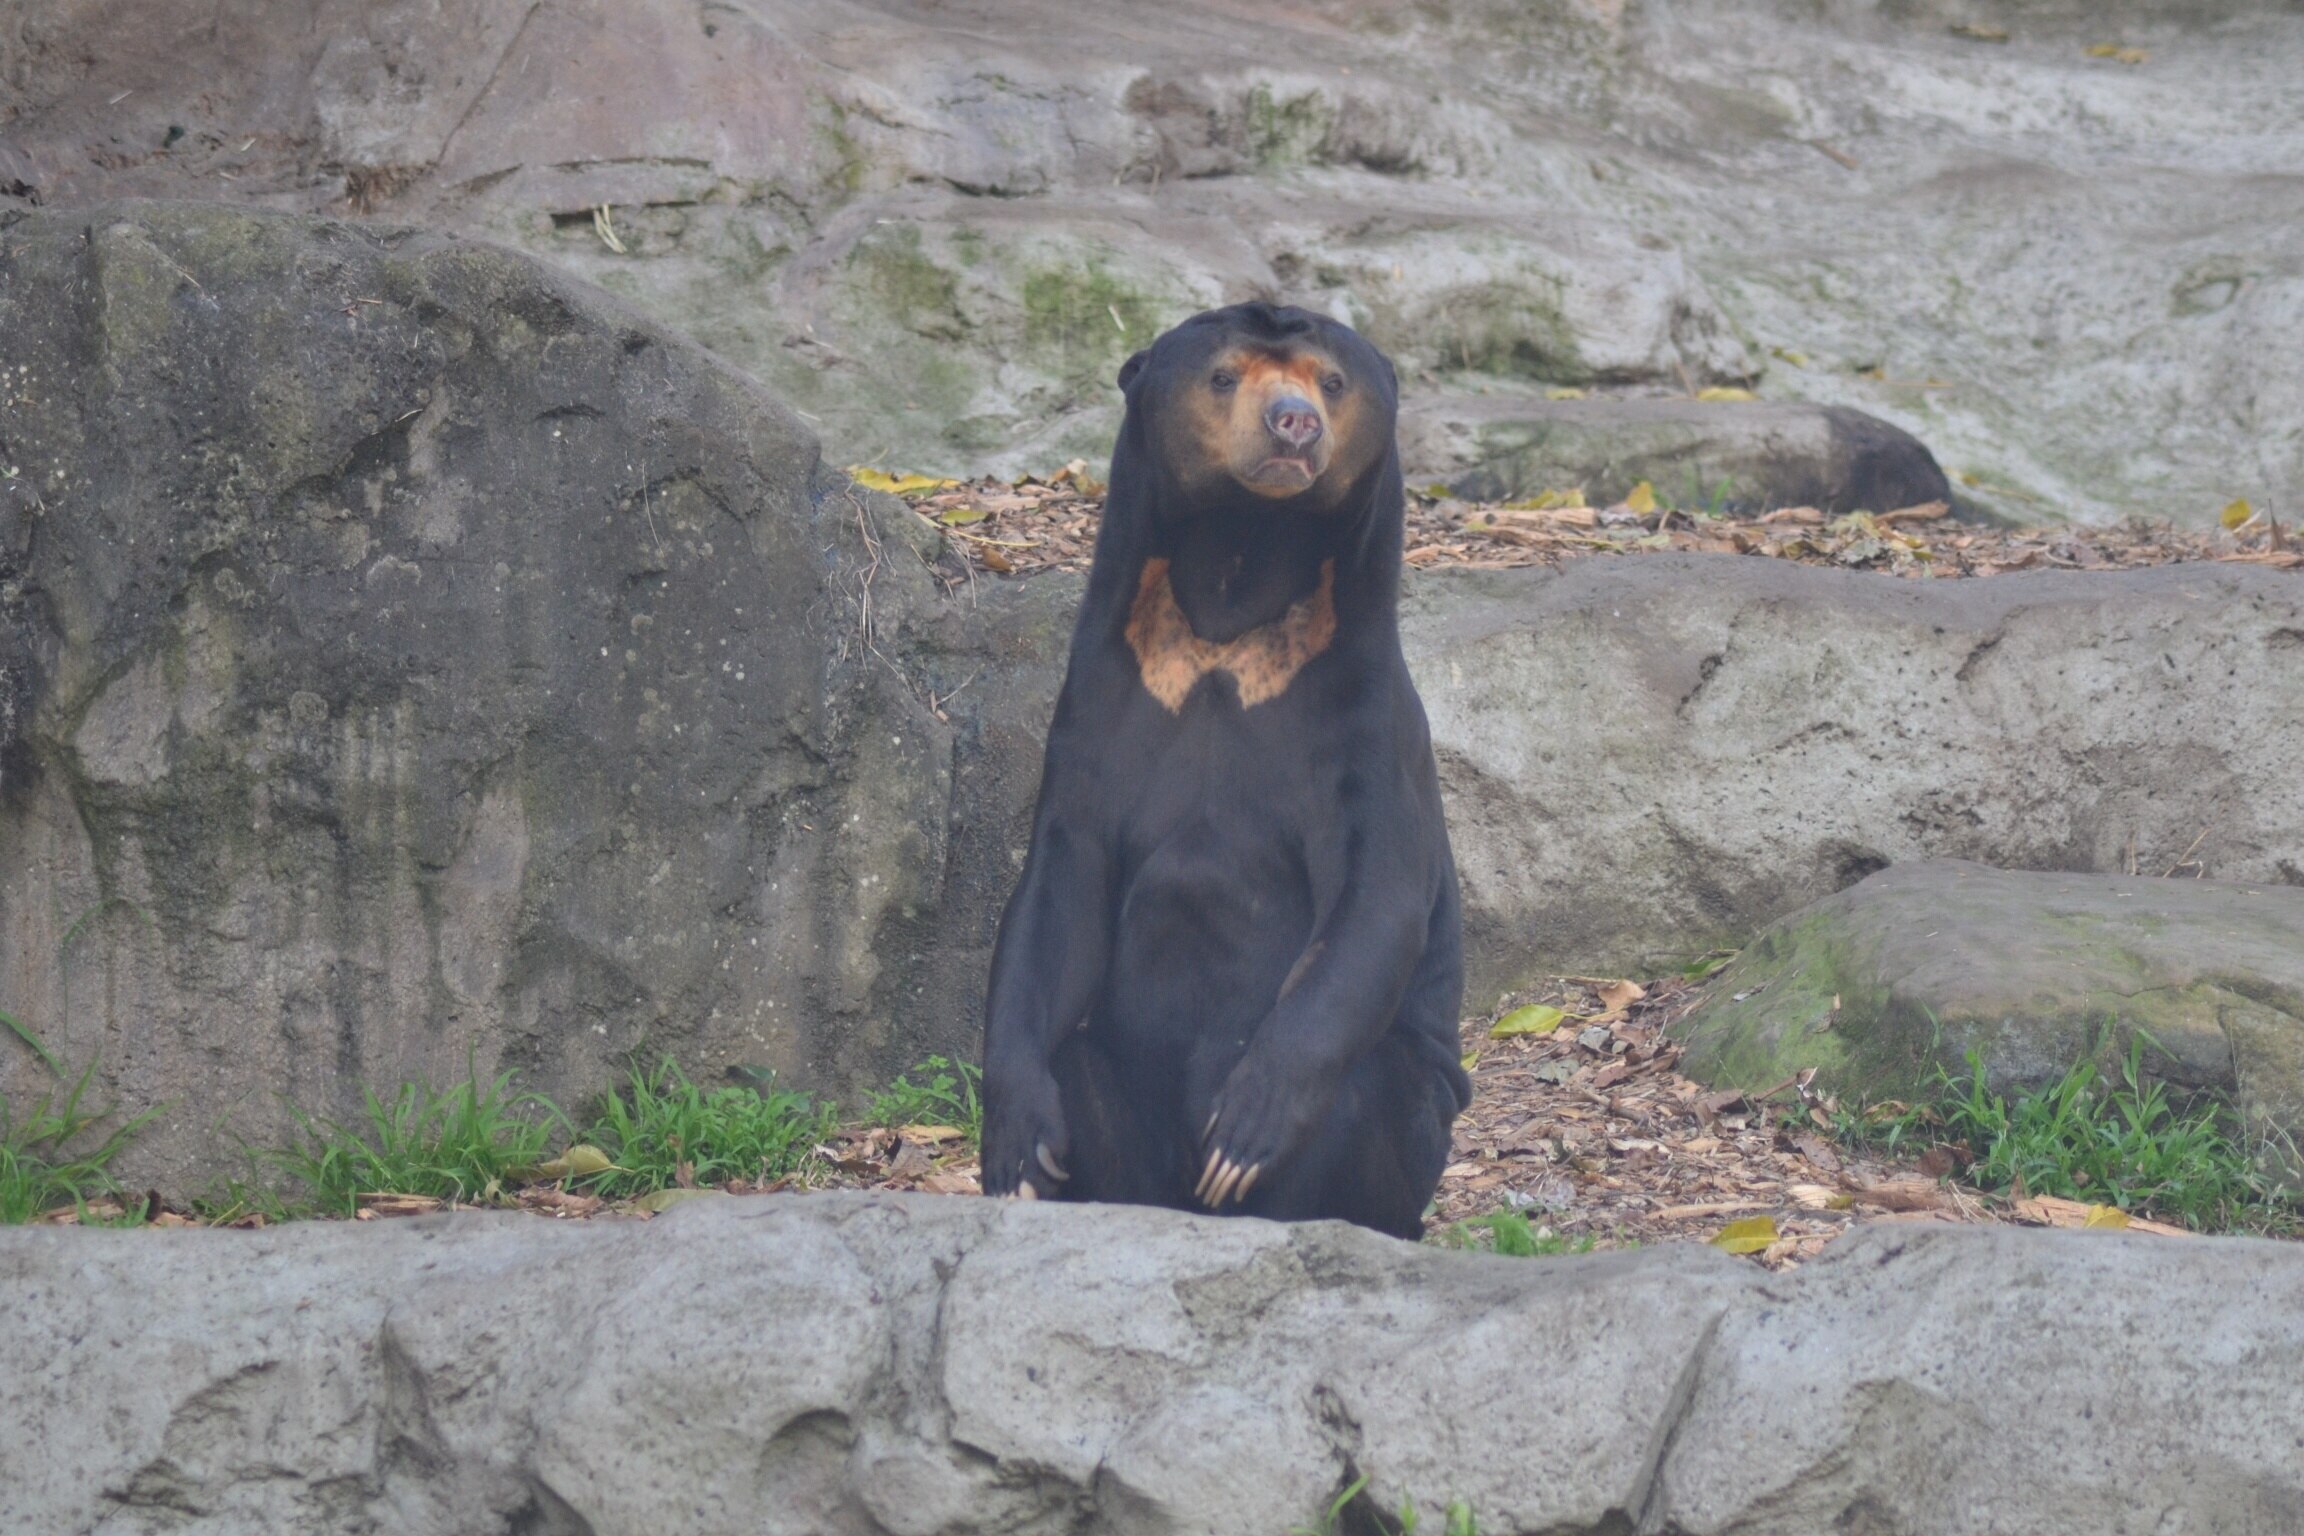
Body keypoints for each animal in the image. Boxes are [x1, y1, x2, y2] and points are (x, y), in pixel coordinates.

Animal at [981, 303, 1465, 1252]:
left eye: (1331, 381)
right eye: (1223, 375)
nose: (1294, 425)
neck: (1238, 580)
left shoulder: (1362, 724)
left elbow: (1378, 900)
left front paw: (1248, 1123)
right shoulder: (1100, 706)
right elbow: (1056, 896)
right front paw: (1018, 1151)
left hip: (1418, 1127)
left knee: (1374, 1079)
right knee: (1080, 1060)